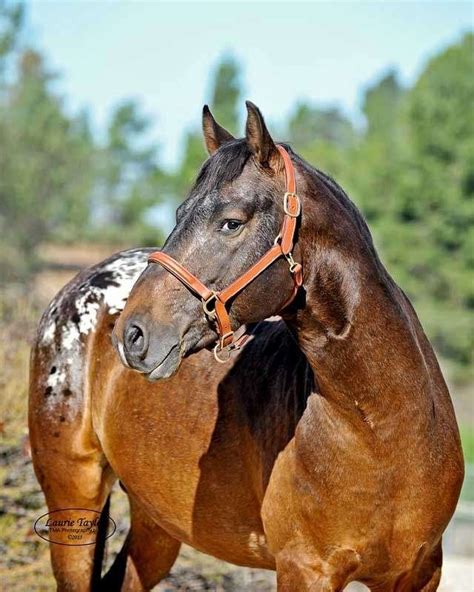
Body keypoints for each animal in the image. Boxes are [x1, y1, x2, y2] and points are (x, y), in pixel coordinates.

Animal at [26, 104, 462, 588]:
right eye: (179, 213)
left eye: (231, 222)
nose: (132, 334)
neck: (382, 430)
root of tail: (81, 286)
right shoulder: (304, 569)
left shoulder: (421, 571)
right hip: (74, 501)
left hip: (156, 524)